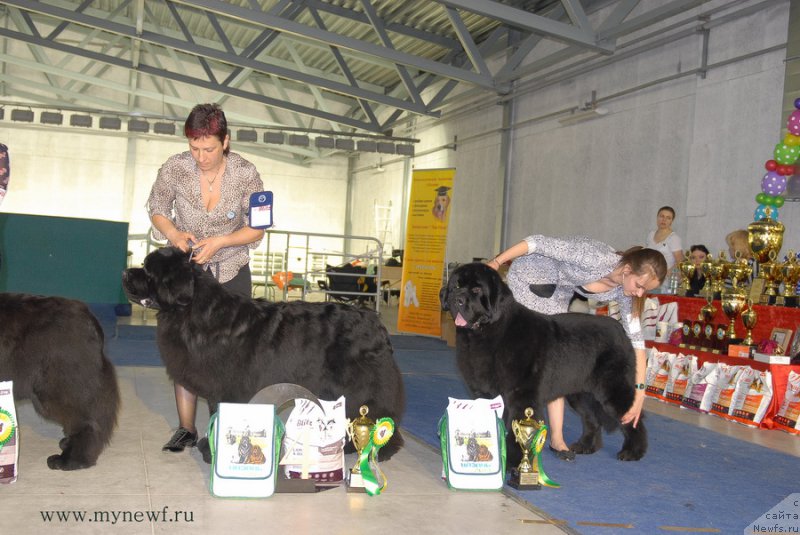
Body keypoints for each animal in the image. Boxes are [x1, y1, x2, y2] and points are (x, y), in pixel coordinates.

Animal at [122, 247, 406, 460]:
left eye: (147, 270)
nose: (125, 272)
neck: (193, 311)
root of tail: (376, 322)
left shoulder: (226, 386)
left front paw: (214, 452)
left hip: (361, 385)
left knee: (378, 411)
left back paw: (380, 449)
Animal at [440, 262, 648, 464]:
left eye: (476, 289)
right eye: (456, 286)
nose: (457, 299)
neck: (489, 333)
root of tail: (621, 330)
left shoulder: (521, 395)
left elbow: (516, 429)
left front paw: (514, 462)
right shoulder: (484, 393)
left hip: (612, 389)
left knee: (632, 416)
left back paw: (632, 452)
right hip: (579, 393)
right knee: (592, 419)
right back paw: (585, 446)